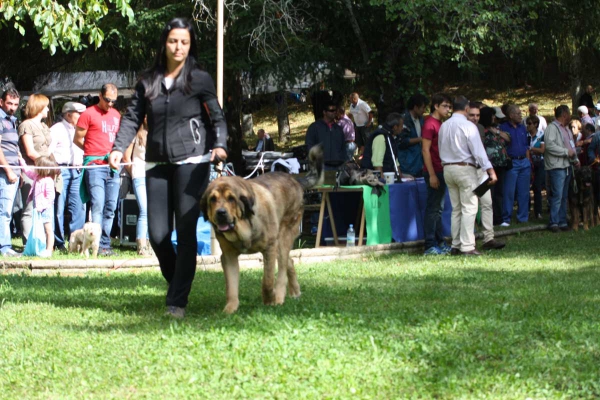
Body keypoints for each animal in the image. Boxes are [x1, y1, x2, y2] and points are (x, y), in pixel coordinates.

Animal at [200, 145, 324, 314]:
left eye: (231, 199)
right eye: (212, 199)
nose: (221, 213)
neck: (243, 228)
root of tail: (295, 180)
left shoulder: (269, 249)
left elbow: (268, 280)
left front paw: (269, 301)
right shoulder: (228, 256)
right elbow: (231, 287)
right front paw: (230, 309)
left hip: (283, 236)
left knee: (282, 269)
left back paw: (279, 297)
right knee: (289, 261)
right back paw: (295, 291)